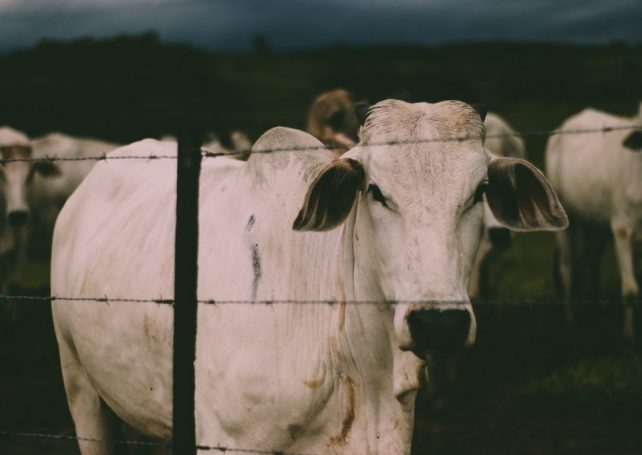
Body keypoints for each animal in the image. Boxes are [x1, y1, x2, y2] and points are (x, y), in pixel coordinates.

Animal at [544, 100, 640, 342]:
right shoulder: (622, 229)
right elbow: (630, 290)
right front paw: (629, 338)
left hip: (592, 224)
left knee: (590, 262)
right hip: (564, 222)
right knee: (567, 267)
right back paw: (569, 318)